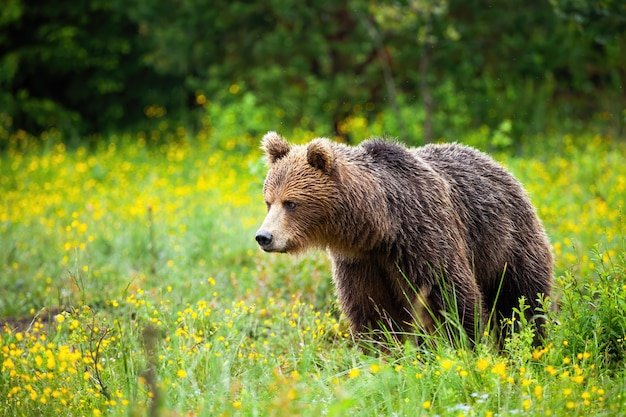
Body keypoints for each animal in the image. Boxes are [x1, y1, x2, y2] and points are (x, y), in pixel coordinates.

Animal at [254, 132, 552, 346]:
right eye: (268, 201)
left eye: (291, 203)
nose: (264, 237)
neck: (381, 226)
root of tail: (499, 166)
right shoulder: (361, 261)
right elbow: (372, 312)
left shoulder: (422, 237)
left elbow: (451, 294)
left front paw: (462, 346)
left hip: (507, 241)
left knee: (522, 299)